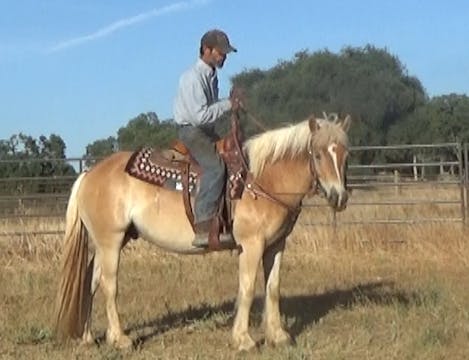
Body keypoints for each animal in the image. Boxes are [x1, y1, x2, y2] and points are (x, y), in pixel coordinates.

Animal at [54, 113, 350, 352]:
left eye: (345, 155)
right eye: (319, 154)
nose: (339, 197)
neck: (261, 180)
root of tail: (89, 174)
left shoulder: (275, 246)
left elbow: (273, 288)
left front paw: (278, 336)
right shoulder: (251, 245)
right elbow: (247, 288)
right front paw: (243, 340)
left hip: (107, 243)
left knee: (91, 281)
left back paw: (88, 337)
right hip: (110, 241)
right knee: (109, 285)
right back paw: (120, 339)